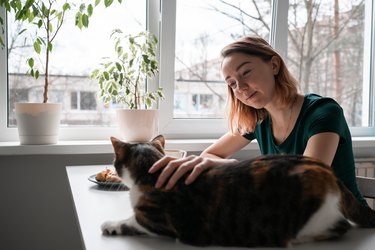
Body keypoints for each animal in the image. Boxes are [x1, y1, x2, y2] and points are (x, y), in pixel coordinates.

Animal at [101, 134, 375, 247]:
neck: (152, 172)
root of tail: (326, 171)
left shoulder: (158, 221)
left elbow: (131, 221)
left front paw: (111, 224)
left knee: (340, 227)